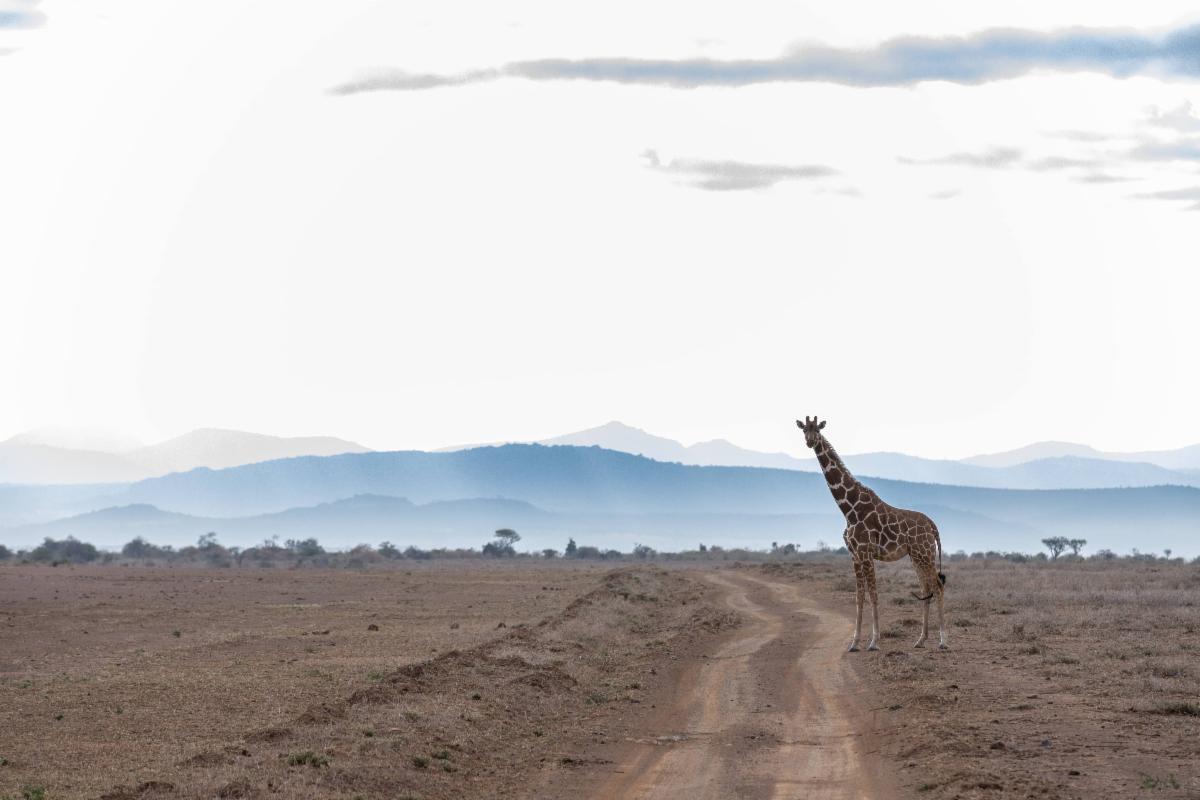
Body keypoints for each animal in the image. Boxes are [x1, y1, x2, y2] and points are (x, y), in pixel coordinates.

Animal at [796, 419, 945, 652]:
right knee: (926, 588)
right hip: (916, 556)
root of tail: (932, 525)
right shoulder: (855, 555)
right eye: (804, 429)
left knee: (937, 587)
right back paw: (920, 640)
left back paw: (942, 640)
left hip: (925, 554)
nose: (810, 441)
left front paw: (874, 642)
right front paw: (854, 643)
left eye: (817, 430)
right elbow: (859, 597)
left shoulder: (866, 552)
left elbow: (874, 595)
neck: (848, 509)